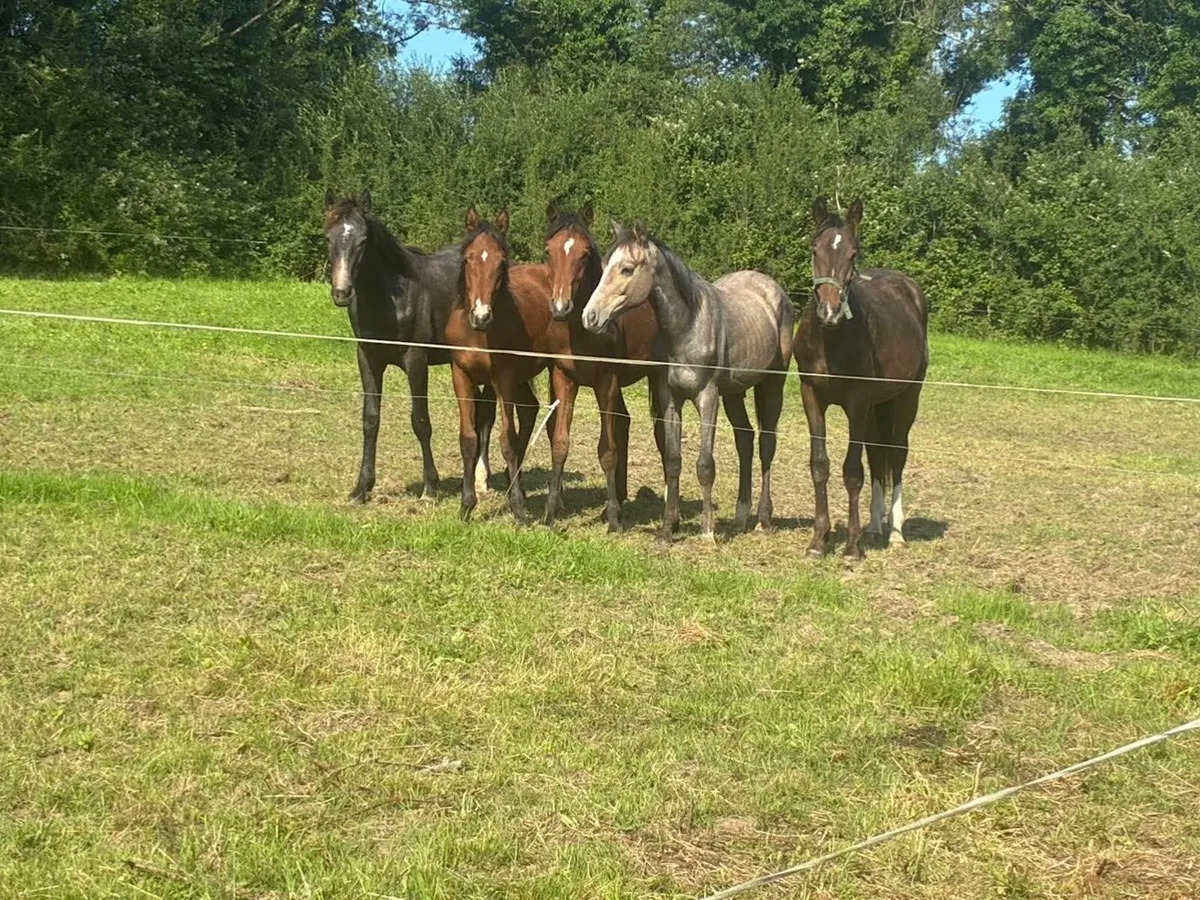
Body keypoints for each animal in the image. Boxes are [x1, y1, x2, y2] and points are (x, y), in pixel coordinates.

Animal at [323, 189, 496, 504]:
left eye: (363, 241)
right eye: (329, 238)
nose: (341, 293)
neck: (388, 301)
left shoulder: (415, 360)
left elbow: (420, 421)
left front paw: (430, 488)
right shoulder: (368, 358)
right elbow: (370, 419)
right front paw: (361, 488)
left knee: (488, 413)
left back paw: (480, 479)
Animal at [446, 206, 552, 524]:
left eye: (501, 261)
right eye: (468, 258)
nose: (481, 316)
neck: (476, 333)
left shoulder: (503, 377)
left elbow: (507, 439)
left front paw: (518, 509)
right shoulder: (461, 376)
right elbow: (468, 439)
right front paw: (466, 505)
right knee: (529, 408)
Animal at [581, 223, 794, 543]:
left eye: (627, 269)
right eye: (605, 267)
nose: (590, 317)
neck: (688, 326)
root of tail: (773, 289)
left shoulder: (707, 397)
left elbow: (705, 465)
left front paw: (707, 531)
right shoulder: (671, 398)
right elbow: (673, 460)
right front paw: (668, 530)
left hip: (772, 384)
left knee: (767, 443)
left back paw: (763, 519)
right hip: (735, 392)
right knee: (745, 439)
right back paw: (739, 517)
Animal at [793, 196, 929, 561]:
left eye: (853, 253)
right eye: (814, 250)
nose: (830, 311)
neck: (830, 338)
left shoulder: (856, 400)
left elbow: (853, 471)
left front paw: (852, 548)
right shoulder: (811, 395)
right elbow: (820, 465)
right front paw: (818, 541)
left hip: (906, 398)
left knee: (896, 453)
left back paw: (894, 531)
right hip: (876, 407)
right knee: (877, 453)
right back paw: (874, 525)